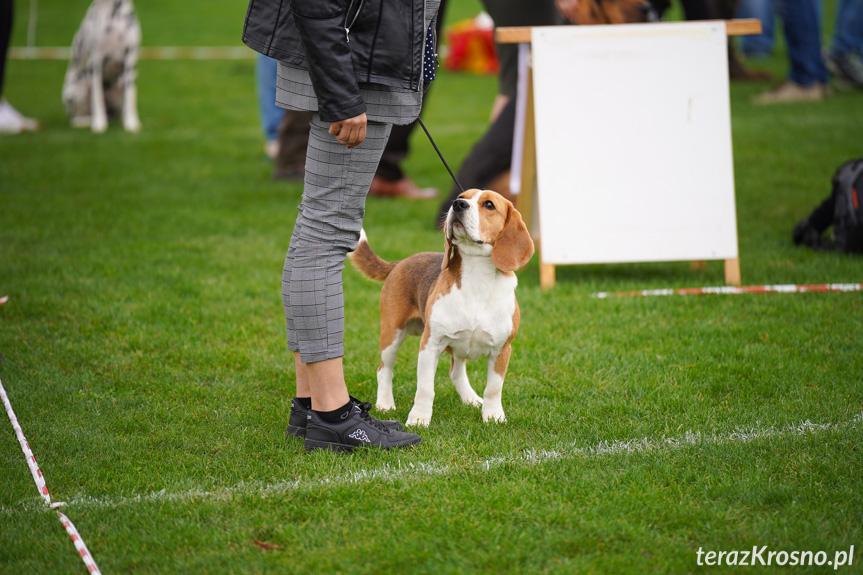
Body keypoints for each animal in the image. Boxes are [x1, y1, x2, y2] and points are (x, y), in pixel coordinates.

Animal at [352, 190, 532, 428]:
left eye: (489, 205)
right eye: (462, 196)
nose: (458, 204)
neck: (477, 277)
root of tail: (400, 262)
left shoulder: (502, 349)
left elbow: (493, 389)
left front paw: (493, 416)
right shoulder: (430, 345)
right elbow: (425, 389)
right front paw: (419, 418)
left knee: (456, 372)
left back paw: (472, 399)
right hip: (392, 333)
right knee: (384, 369)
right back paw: (385, 403)